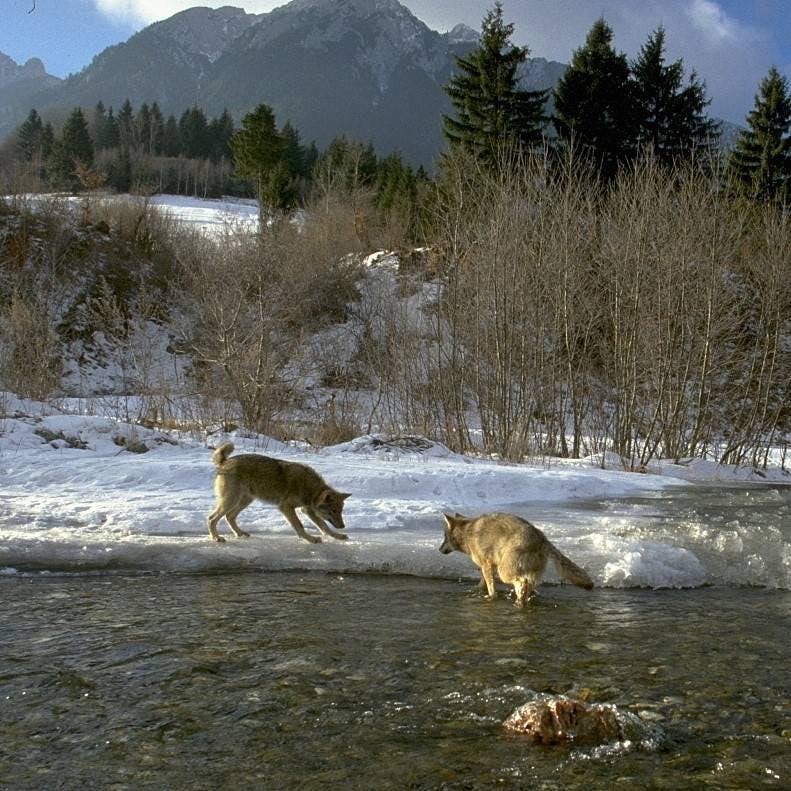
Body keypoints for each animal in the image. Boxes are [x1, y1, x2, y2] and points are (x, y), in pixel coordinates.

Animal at [207, 440, 352, 544]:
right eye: (333, 510)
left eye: (341, 511)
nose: (343, 526)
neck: (312, 490)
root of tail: (225, 462)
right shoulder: (286, 507)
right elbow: (300, 526)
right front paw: (310, 539)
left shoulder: (307, 510)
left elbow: (324, 527)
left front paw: (337, 536)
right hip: (232, 500)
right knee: (212, 518)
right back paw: (217, 538)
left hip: (245, 501)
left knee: (229, 516)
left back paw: (240, 533)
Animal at [440, 512, 592, 608]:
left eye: (444, 537)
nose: (439, 549)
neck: (467, 533)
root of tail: (542, 538)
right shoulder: (489, 566)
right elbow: (482, 583)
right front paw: (478, 590)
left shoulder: (486, 565)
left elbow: (491, 588)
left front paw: (490, 597)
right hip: (528, 574)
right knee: (528, 588)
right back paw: (522, 602)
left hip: (504, 572)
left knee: (522, 582)